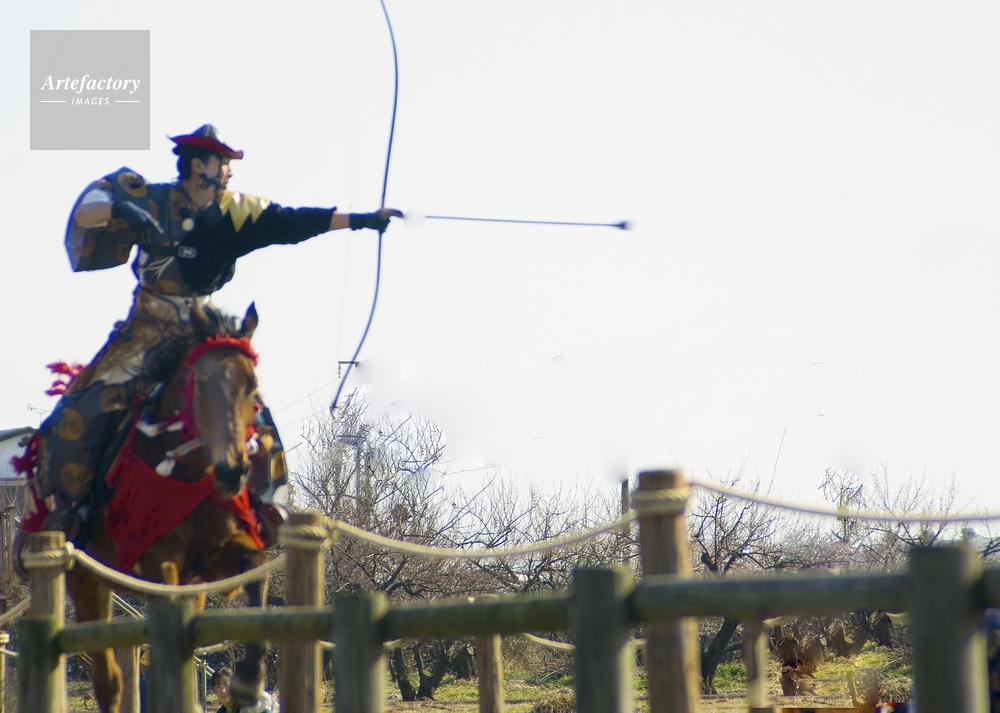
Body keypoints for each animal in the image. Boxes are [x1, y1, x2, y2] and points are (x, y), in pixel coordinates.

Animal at [60, 303, 272, 713]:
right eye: (200, 382)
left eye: (252, 386)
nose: (233, 471)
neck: (186, 475)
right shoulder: (158, 561)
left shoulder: (211, 564)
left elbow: (255, 571)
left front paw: (248, 680)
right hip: (87, 582)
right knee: (108, 679)